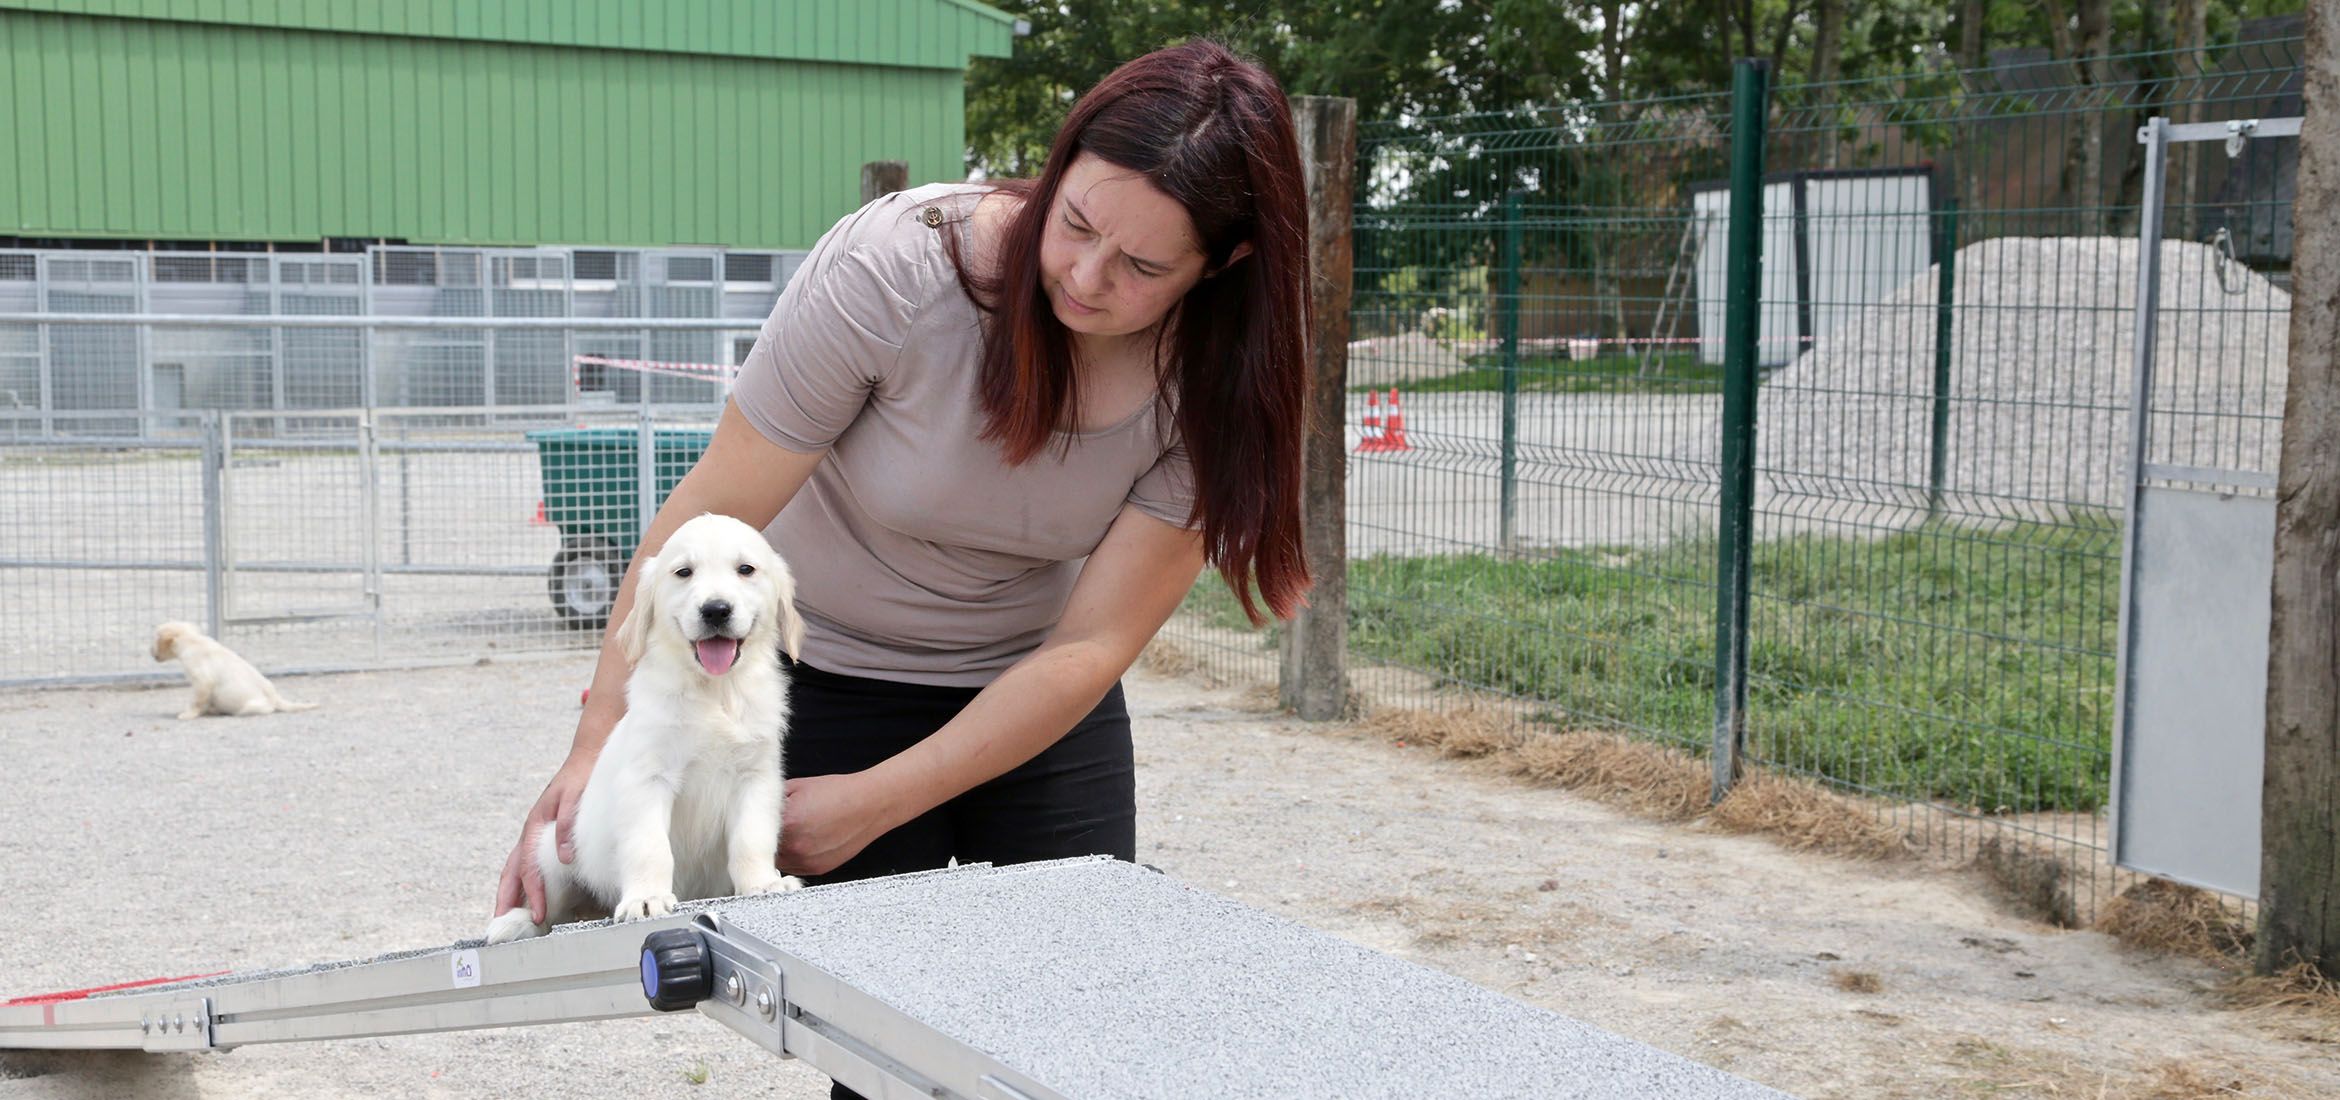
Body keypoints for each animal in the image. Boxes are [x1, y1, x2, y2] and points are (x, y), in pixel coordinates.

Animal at [150, 617, 315, 720]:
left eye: (154, 640)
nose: (149, 651)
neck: (191, 641)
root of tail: (276, 698)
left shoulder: (202, 682)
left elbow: (197, 701)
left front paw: (188, 714)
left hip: (250, 707)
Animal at [482, 510, 804, 940]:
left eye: (746, 569)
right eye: (683, 572)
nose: (716, 609)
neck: (714, 691)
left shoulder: (757, 777)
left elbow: (751, 838)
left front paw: (763, 883)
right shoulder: (647, 778)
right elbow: (649, 846)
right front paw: (647, 898)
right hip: (552, 850)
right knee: (547, 911)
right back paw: (515, 922)